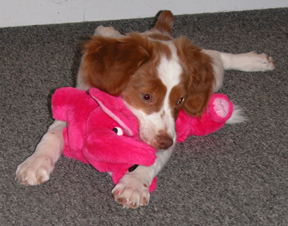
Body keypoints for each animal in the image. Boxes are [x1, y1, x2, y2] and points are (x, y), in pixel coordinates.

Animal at [15, 10, 274, 208]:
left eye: (180, 101)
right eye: (146, 96)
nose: (165, 142)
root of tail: (160, 33)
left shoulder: (170, 130)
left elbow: (154, 157)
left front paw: (133, 184)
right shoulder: (79, 97)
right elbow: (52, 133)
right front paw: (35, 162)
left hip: (215, 75)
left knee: (215, 56)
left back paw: (256, 61)